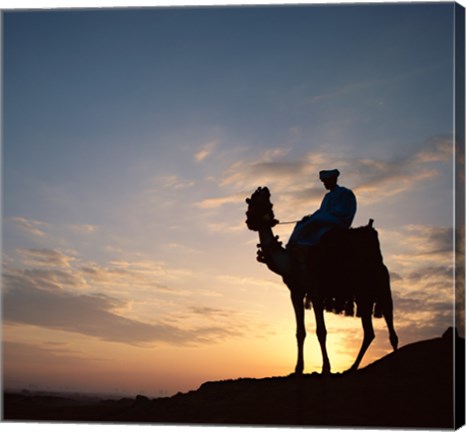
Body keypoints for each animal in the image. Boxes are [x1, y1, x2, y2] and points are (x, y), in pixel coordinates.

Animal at [246, 186, 398, 374]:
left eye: (256, 201)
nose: (249, 222)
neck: (290, 261)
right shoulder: (295, 292)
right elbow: (300, 332)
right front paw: (298, 368)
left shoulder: (315, 291)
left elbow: (321, 331)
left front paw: (326, 367)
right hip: (364, 295)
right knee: (369, 331)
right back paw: (351, 368)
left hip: (380, 286)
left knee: (390, 324)